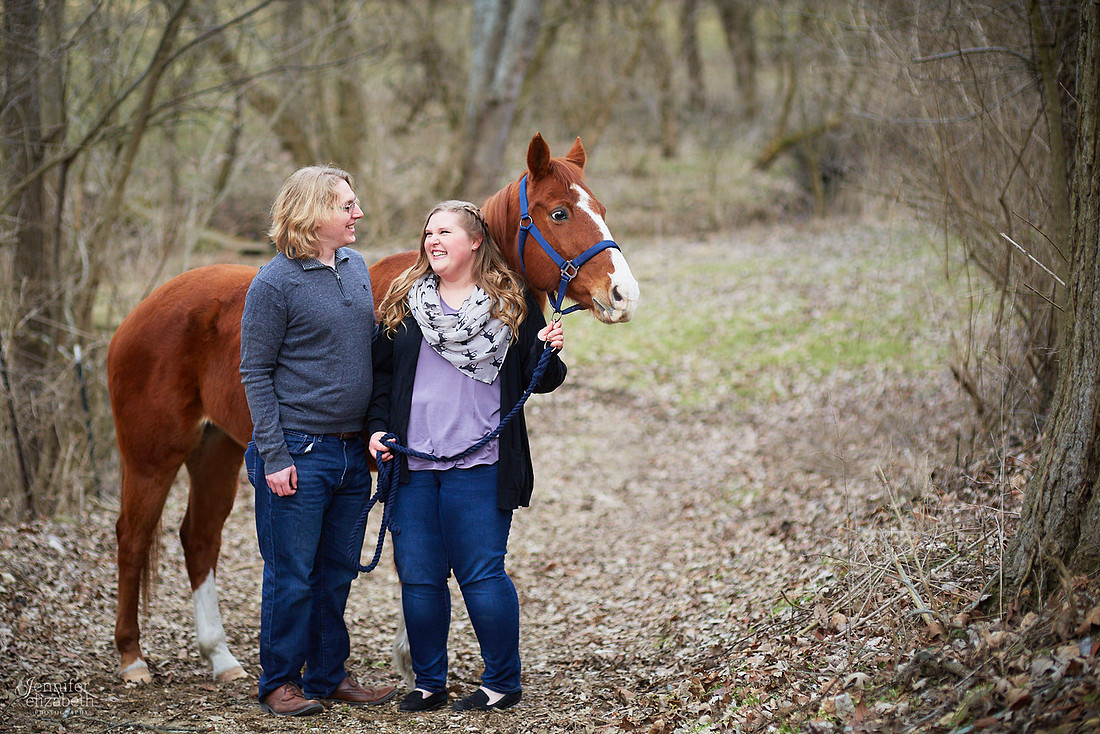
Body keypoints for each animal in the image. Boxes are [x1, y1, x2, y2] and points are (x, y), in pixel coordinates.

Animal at [107, 133, 640, 684]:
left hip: (218, 450)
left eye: (600, 210)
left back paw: (221, 657)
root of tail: (139, 314)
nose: (624, 294)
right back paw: (132, 658)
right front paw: (413, 663)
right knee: (132, 538)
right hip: (153, 458)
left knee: (199, 539)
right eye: (559, 213)